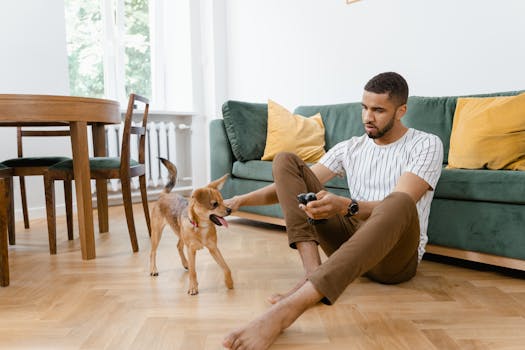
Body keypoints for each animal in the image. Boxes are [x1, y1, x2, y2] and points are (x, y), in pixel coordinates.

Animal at [150, 159, 234, 296]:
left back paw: (185, 264)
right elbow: (193, 273)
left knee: (178, 246)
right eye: (214, 204)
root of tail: (164, 195)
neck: (201, 227)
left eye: (222, 201)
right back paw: (153, 269)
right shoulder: (191, 250)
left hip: (180, 234)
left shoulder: (213, 248)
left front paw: (229, 282)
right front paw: (193, 287)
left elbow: (226, 267)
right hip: (156, 233)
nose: (230, 210)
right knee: (152, 252)